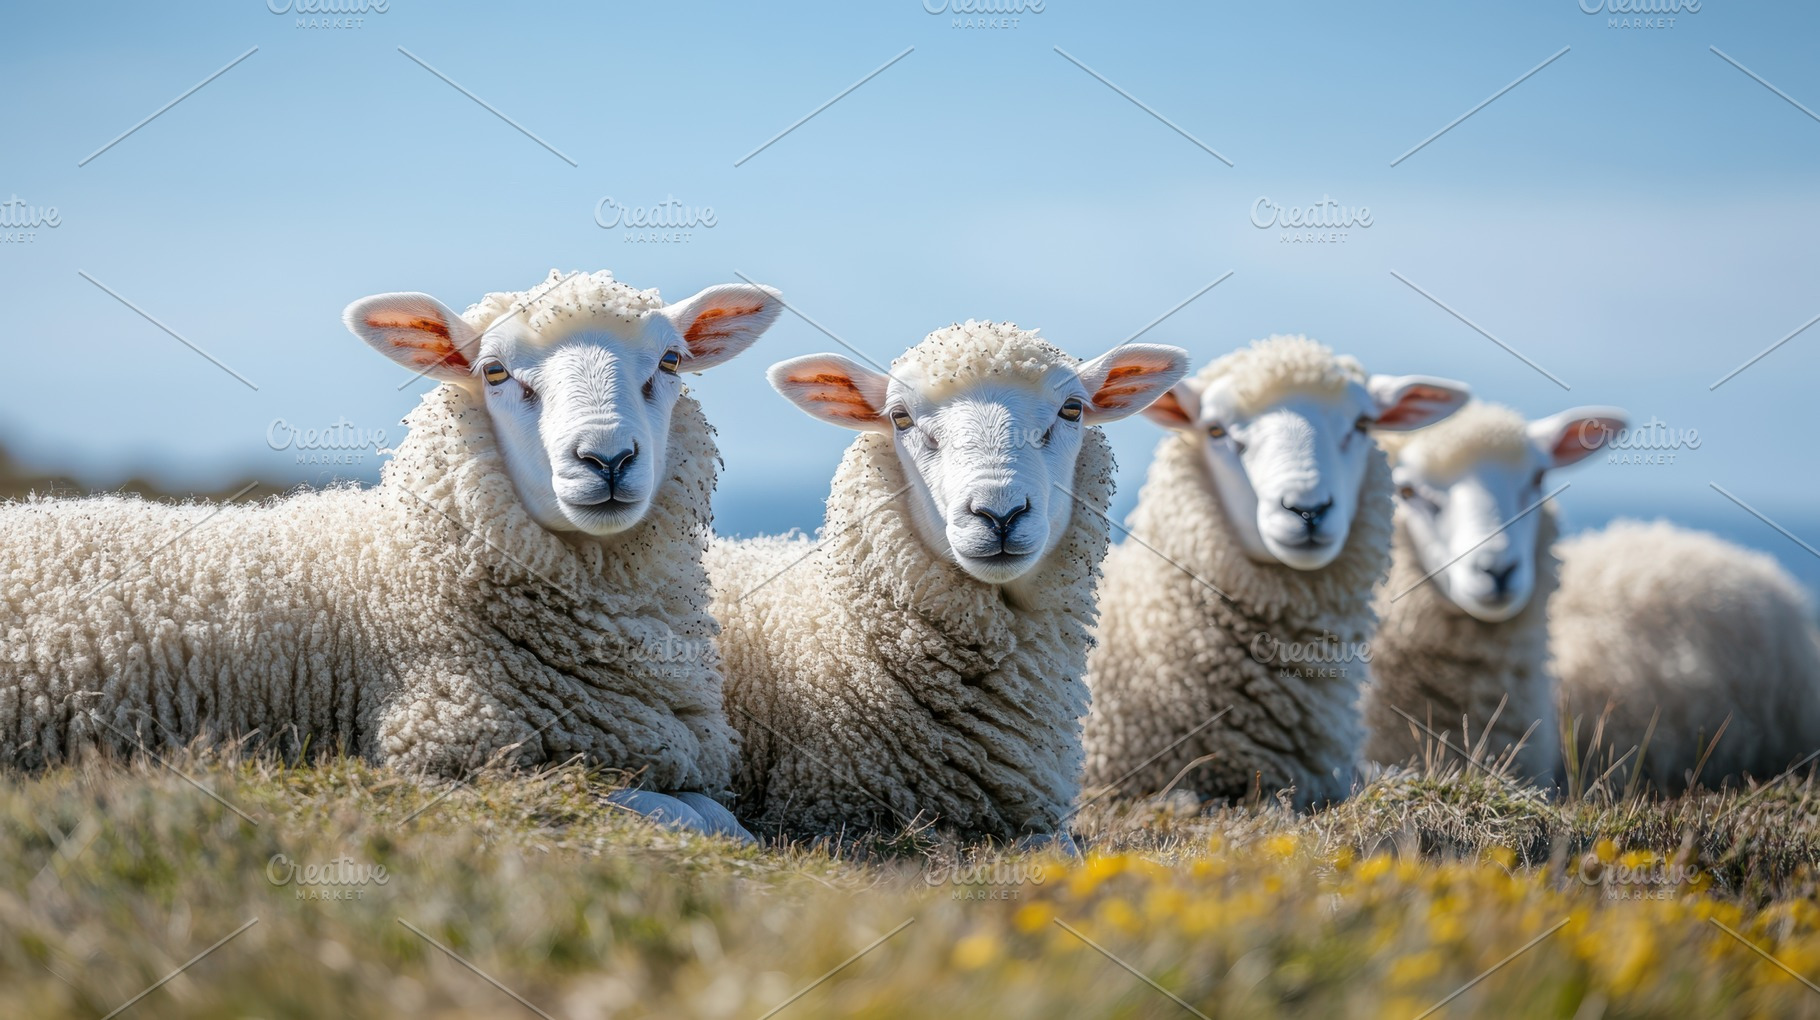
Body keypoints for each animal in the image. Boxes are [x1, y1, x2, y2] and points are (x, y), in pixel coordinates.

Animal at [0, 269, 782, 839]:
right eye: (494, 373)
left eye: (672, 360)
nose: (608, 459)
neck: (407, 561)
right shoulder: (468, 759)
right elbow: (693, 820)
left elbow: (722, 818)